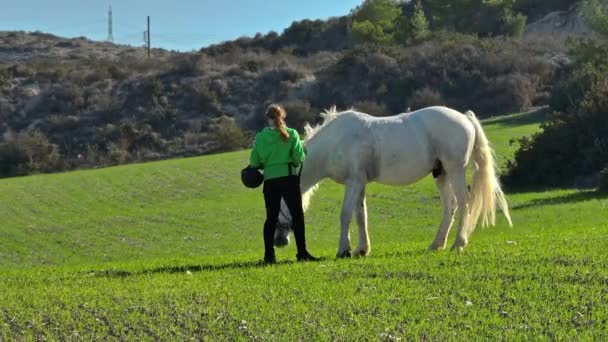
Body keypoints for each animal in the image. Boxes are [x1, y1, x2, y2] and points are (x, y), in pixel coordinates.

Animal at [276, 105, 512, 258]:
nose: (279, 241)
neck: (335, 142)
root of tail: (465, 117)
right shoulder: (360, 183)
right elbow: (360, 216)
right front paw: (362, 249)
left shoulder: (353, 182)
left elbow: (345, 215)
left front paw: (344, 250)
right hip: (441, 173)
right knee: (450, 207)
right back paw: (437, 244)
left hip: (455, 170)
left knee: (464, 203)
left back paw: (458, 243)